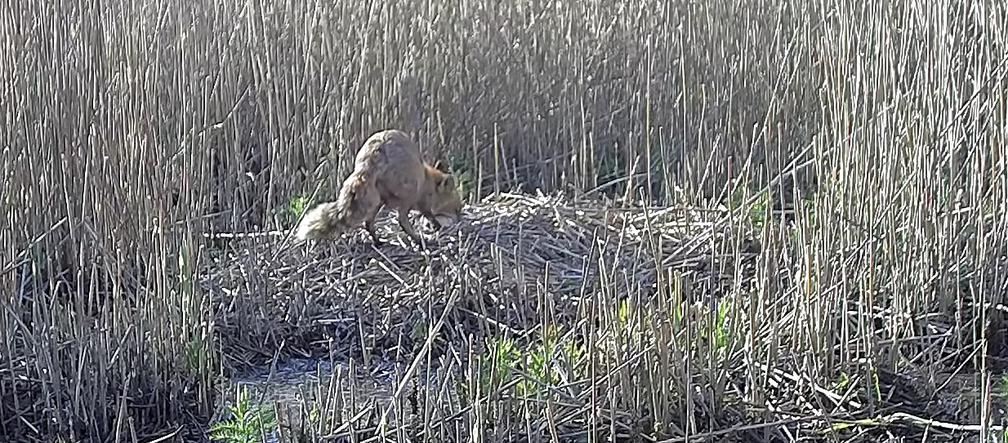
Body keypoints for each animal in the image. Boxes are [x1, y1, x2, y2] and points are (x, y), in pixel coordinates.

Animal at [294, 128, 461, 248]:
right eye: (457, 207)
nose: (460, 217)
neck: (428, 180)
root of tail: (373, 155)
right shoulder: (420, 200)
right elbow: (428, 214)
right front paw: (436, 226)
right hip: (405, 195)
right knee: (400, 220)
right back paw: (418, 240)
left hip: (376, 201)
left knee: (368, 223)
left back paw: (378, 242)